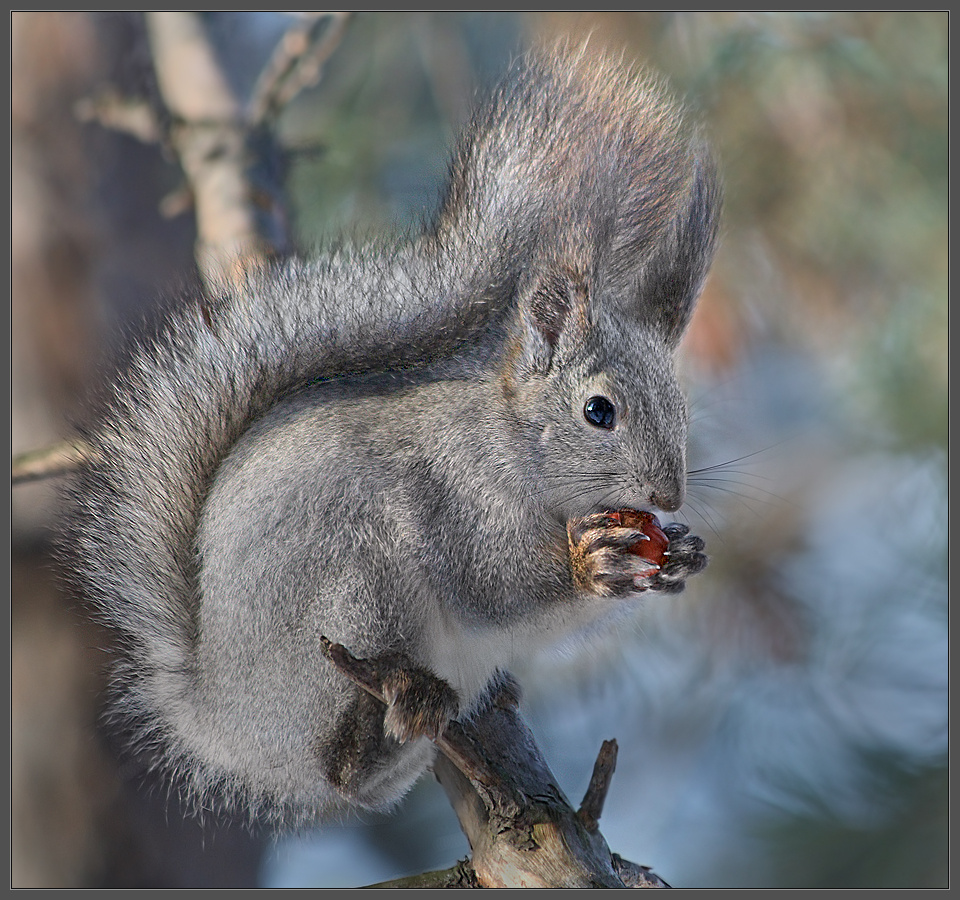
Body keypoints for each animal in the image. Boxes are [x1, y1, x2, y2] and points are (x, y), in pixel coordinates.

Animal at [60, 43, 721, 826]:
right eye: (598, 412)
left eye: (682, 411)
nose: (668, 494)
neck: (517, 450)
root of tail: (224, 719)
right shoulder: (458, 493)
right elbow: (493, 585)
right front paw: (589, 566)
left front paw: (681, 554)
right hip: (351, 590)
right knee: (343, 764)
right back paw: (398, 708)